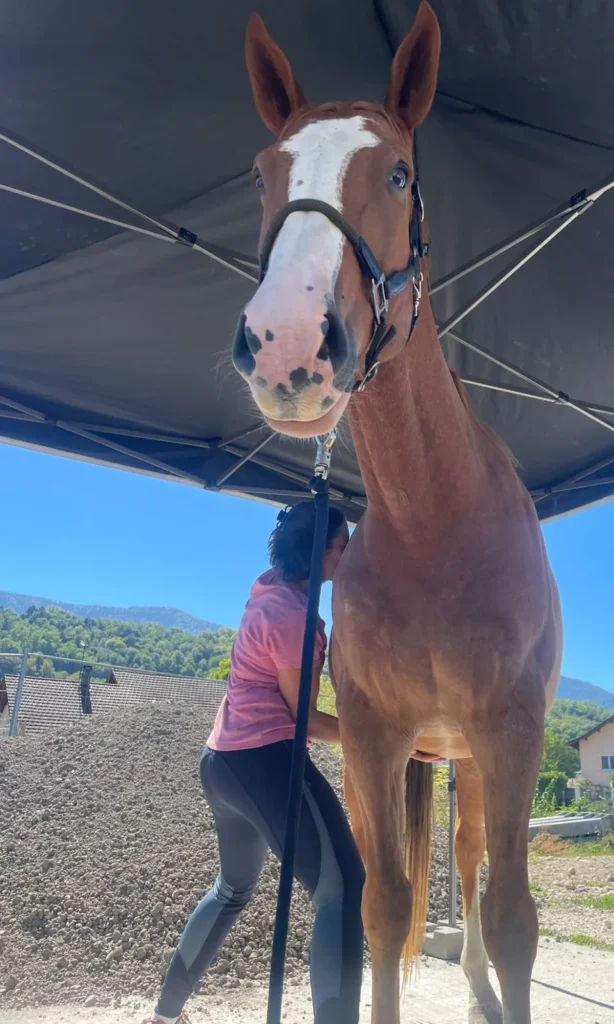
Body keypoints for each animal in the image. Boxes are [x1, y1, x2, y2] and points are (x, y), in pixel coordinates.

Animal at [232, 5, 563, 1023]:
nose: (285, 347)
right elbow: (382, 906)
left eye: (398, 173)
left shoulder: (513, 729)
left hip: (475, 758)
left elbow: (513, 916)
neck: (436, 527)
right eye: (263, 174)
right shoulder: (375, 736)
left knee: (475, 866)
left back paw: (481, 988)